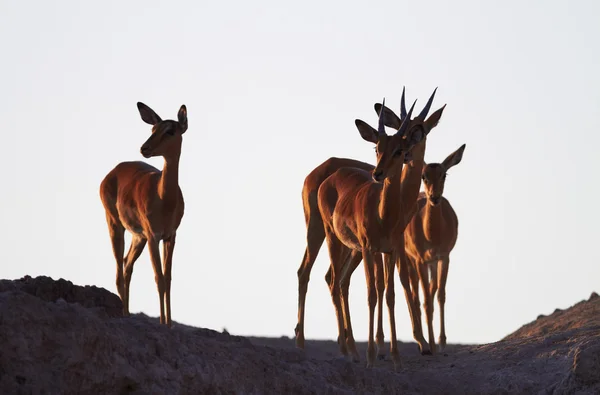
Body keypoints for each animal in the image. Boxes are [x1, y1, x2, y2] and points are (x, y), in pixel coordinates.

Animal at [99, 102, 188, 328]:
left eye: (170, 130)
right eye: (153, 129)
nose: (144, 148)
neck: (164, 198)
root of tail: (114, 171)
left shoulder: (170, 237)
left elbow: (168, 279)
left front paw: (169, 323)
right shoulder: (154, 237)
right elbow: (159, 278)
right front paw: (163, 323)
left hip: (138, 237)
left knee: (126, 265)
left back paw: (127, 313)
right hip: (116, 226)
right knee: (118, 272)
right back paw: (123, 314)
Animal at [406, 145, 466, 352]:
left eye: (444, 174)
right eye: (423, 176)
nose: (434, 197)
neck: (431, 234)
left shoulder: (443, 257)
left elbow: (440, 295)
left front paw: (441, 342)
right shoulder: (420, 259)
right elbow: (425, 300)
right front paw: (431, 343)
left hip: (430, 263)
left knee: (428, 293)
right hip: (410, 260)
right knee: (415, 295)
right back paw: (422, 341)